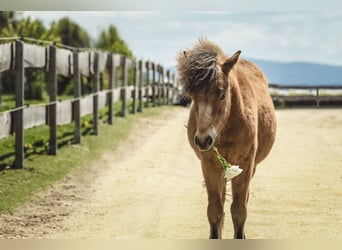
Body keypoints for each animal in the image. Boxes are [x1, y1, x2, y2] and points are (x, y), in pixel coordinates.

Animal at [178, 39, 276, 238]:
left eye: (222, 94)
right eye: (192, 96)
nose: (203, 140)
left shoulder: (245, 166)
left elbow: (239, 211)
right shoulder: (209, 165)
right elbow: (215, 210)